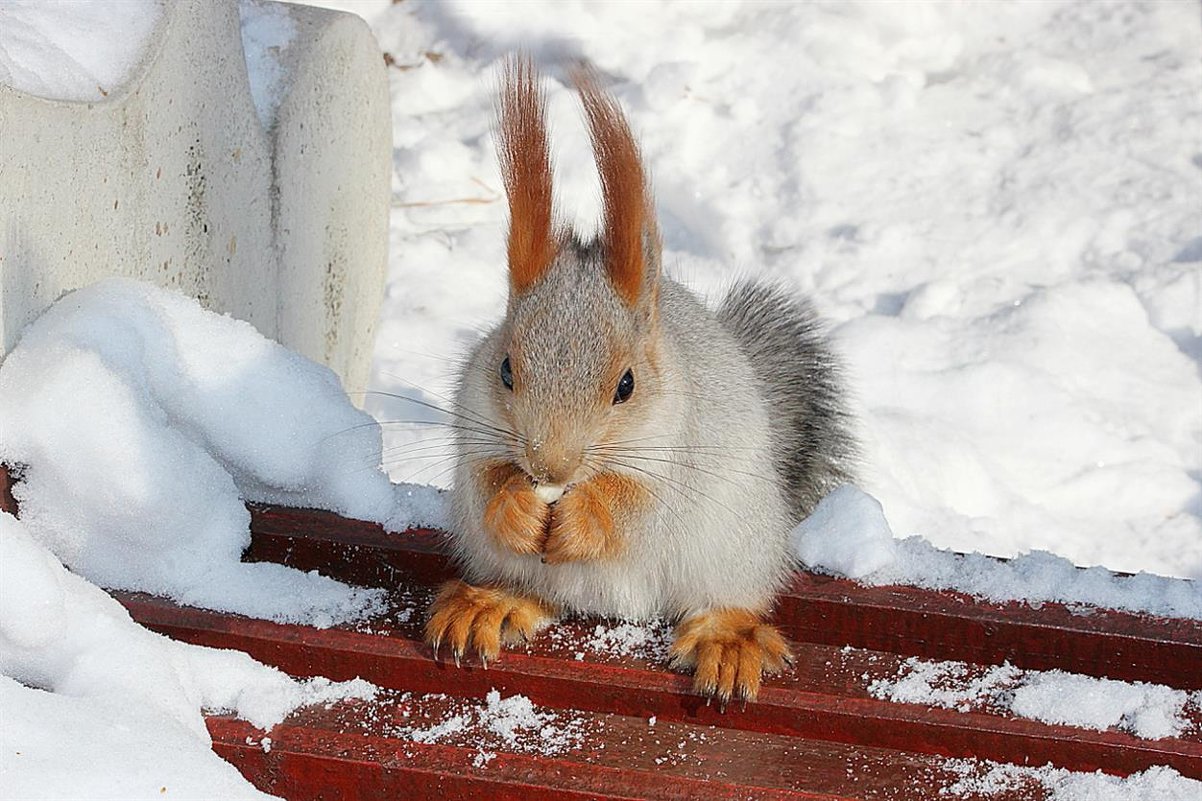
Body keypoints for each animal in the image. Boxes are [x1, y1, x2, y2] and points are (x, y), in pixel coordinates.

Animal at [425, 56, 855, 702]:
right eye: (504, 368)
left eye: (626, 385)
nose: (550, 468)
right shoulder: (475, 429)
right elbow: (485, 482)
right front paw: (517, 506)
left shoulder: (679, 453)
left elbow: (635, 507)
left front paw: (585, 515)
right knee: (533, 589)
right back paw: (491, 603)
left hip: (735, 543)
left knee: (729, 598)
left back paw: (728, 640)